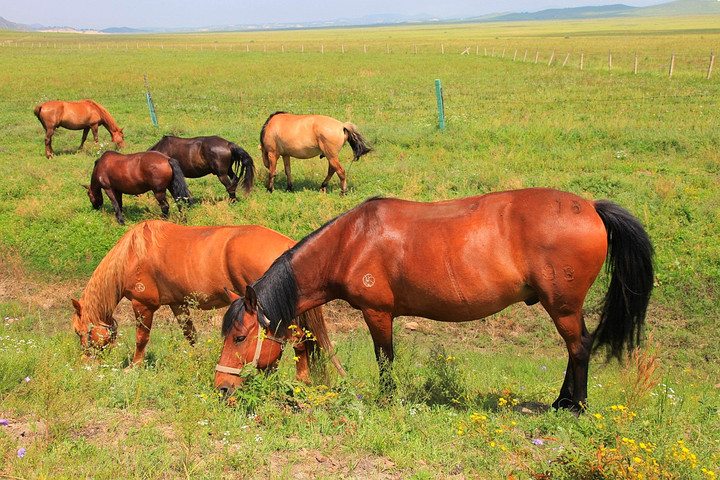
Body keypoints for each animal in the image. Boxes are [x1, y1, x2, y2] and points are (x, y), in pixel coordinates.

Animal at [71, 218, 344, 382]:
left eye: (78, 332)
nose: (85, 362)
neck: (133, 252)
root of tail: (287, 246)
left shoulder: (143, 305)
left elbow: (141, 338)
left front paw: (134, 366)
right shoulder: (178, 304)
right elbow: (191, 336)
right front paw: (199, 361)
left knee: (296, 340)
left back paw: (300, 379)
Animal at [217, 188, 656, 412]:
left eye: (239, 337)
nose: (222, 388)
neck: (351, 241)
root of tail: (591, 207)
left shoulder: (378, 313)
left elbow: (385, 360)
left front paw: (386, 401)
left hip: (563, 306)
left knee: (579, 346)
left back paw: (574, 405)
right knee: (574, 348)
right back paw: (562, 400)